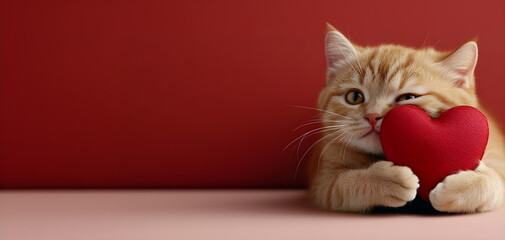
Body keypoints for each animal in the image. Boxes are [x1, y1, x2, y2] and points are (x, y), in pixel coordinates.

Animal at [306, 23, 504, 212]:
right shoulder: (323, 184)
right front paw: (385, 179)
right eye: (354, 97)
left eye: (407, 98)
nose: (372, 116)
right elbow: (344, 185)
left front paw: (461, 188)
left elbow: (495, 182)